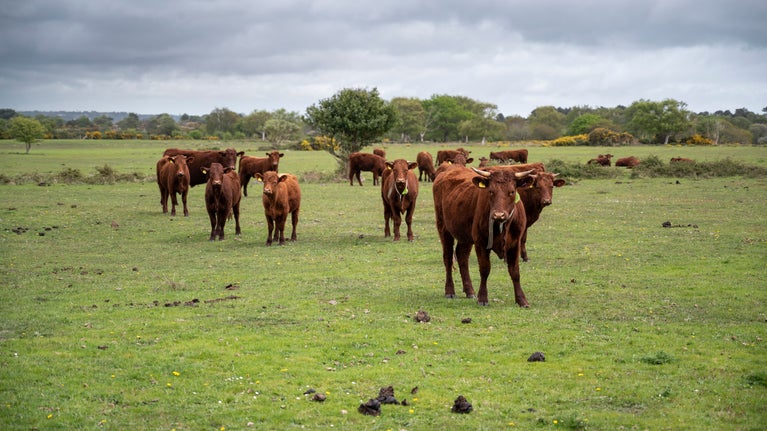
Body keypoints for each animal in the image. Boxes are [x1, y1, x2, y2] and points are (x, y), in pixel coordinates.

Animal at [433, 166, 535, 307]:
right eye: (491, 191)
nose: (498, 215)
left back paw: (469, 291)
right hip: (444, 229)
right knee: (448, 258)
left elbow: (515, 271)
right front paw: (483, 298)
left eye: (511, 192)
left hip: (465, 236)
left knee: (462, 257)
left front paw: (521, 300)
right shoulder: (480, 242)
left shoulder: (515, 243)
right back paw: (450, 291)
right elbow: (485, 269)